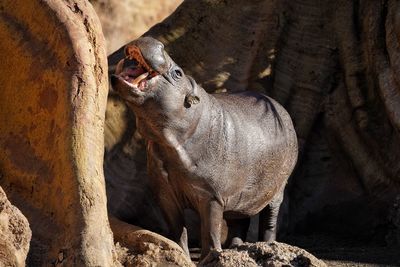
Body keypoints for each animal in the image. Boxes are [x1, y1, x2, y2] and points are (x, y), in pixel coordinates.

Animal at [110, 37, 296, 260]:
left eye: (178, 73)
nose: (156, 42)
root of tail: (282, 109)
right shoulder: (165, 194)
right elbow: (177, 231)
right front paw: (183, 255)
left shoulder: (211, 196)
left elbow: (210, 230)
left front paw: (211, 257)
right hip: (241, 193)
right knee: (239, 220)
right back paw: (236, 248)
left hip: (278, 187)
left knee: (270, 218)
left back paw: (268, 245)